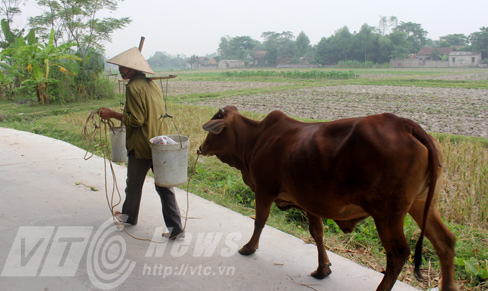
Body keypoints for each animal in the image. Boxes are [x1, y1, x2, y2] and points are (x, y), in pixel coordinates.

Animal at [198, 106, 458, 291]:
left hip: (387, 212)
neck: (255, 139)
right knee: (445, 242)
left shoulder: (264, 189)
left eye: (213, 127)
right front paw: (323, 268)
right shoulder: (309, 201)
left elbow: (259, 221)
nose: (200, 148)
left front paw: (249, 248)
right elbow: (317, 233)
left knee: (398, 252)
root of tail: (407, 125)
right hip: (422, 204)